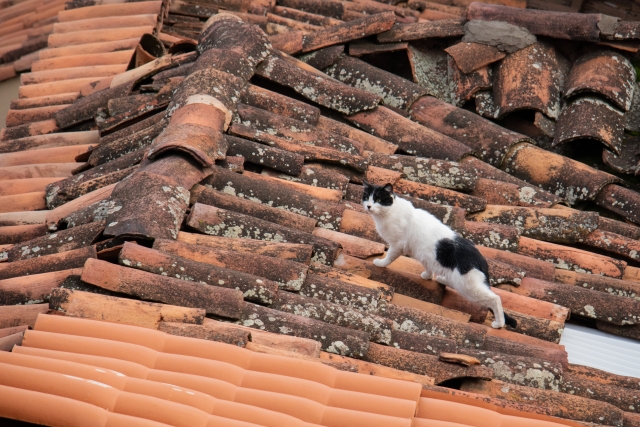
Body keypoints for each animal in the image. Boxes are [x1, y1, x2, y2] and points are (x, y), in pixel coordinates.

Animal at [362, 182, 516, 330]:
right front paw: (427, 275)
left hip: (469, 287)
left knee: (495, 298)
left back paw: (499, 323)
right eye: (367, 197)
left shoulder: (398, 244)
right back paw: (442, 278)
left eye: (378, 200)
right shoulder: (422, 253)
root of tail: (482, 260)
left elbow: (389, 256)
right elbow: (427, 265)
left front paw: (380, 263)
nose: (369, 206)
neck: (390, 211)